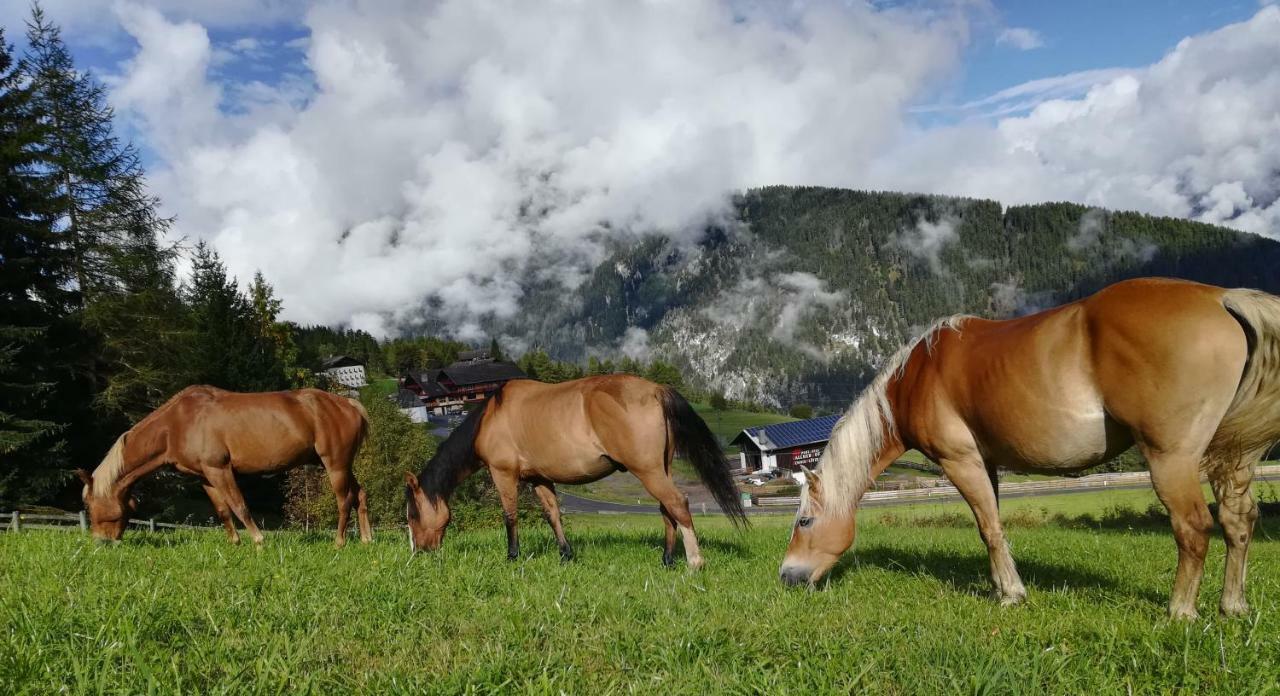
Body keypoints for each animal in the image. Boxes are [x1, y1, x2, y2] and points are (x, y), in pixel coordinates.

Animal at [77, 386, 371, 542]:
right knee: (360, 494)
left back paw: (339, 542)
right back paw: (366, 539)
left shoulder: (219, 469)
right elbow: (222, 511)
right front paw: (235, 542)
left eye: (91, 506)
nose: (101, 543)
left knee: (344, 500)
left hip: (335, 465)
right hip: (341, 466)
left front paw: (258, 541)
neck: (176, 424)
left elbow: (240, 506)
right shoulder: (205, 476)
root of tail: (349, 404)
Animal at [401, 376, 747, 565]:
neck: (491, 417)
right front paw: (565, 554)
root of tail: (655, 390)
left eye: (413, 514)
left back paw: (694, 562)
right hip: (661, 467)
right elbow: (552, 514)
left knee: (677, 503)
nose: (419, 551)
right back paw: (667, 559)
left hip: (647, 470)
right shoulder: (539, 479)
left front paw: (512, 556)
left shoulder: (503, 474)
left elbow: (509, 515)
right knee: (667, 509)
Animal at [773, 278, 1280, 619]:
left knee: (1193, 526)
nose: (786, 576)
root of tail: (1219, 297)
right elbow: (993, 525)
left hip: (1170, 459)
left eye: (804, 521)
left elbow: (988, 528)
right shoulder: (988, 464)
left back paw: (1181, 612)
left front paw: (1012, 595)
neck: (916, 377)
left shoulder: (961, 461)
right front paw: (1002, 587)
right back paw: (1232, 606)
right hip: (1233, 459)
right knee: (1238, 522)